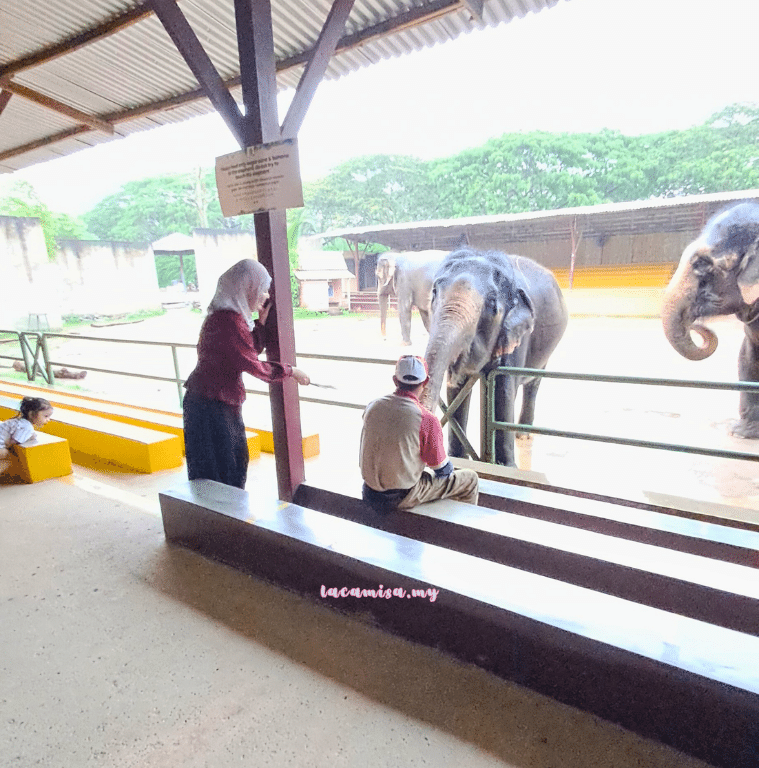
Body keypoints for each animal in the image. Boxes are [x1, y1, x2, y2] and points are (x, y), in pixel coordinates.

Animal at [424, 246, 568, 464]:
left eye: (492, 303)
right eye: (434, 292)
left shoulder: (516, 335)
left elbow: (503, 388)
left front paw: (507, 466)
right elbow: (456, 392)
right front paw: (457, 457)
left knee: (533, 382)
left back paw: (523, 435)